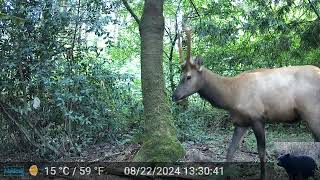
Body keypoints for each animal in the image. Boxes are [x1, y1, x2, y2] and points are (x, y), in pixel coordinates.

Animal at [172, 28, 320, 179]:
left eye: (188, 76)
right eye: (181, 75)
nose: (174, 95)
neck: (231, 97)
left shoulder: (257, 118)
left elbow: (261, 152)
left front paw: (263, 176)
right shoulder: (241, 122)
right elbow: (230, 150)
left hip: (312, 112)